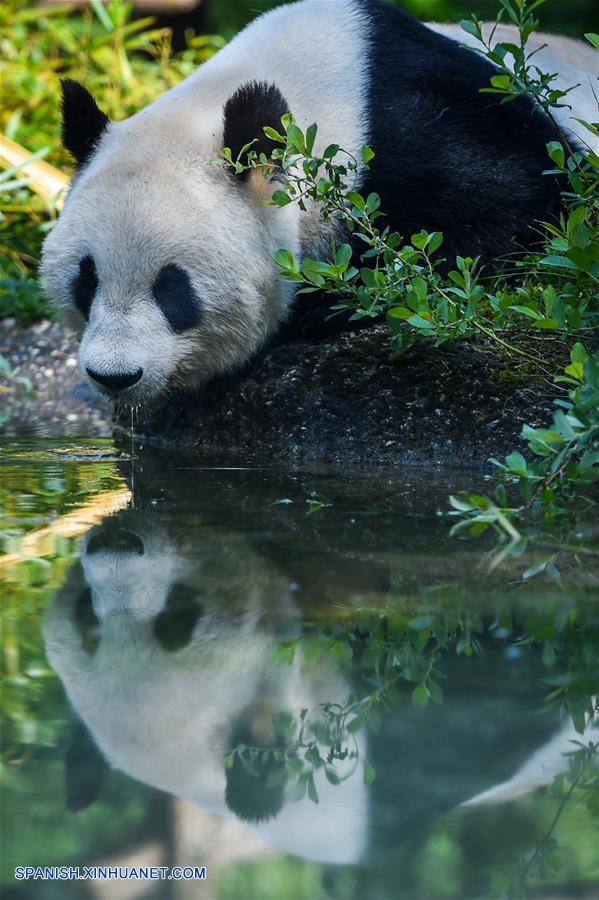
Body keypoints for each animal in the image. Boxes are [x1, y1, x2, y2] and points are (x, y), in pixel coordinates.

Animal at [39, 0, 596, 408]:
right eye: (86, 280)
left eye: (173, 288)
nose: (114, 375)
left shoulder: (428, 123)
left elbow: (516, 208)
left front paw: (320, 307)